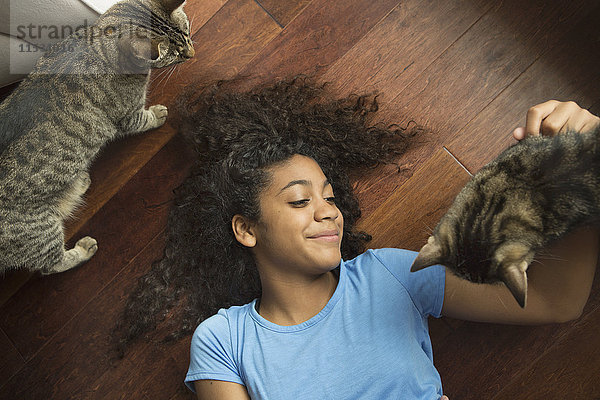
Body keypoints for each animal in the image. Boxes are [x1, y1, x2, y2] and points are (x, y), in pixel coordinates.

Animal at [0, 0, 193, 274]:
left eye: (187, 34)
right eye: (175, 54)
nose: (192, 53)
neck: (97, 46)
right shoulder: (125, 116)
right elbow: (143, 119)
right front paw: (157, 114)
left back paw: (79, 182)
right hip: (39, 233)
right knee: (51, 265)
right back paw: (82, 249)